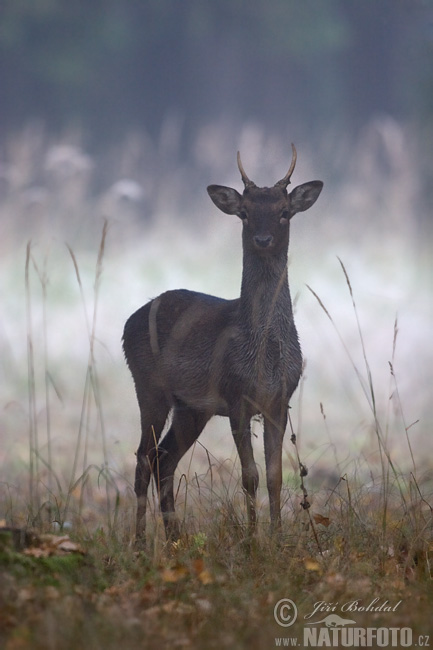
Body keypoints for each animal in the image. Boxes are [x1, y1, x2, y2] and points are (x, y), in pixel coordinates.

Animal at [121, 143, 320, 540]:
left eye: (284, 212)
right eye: (244, 213)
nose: (263, 240)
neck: (265, 357)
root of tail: (128, 321)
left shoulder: (279, 401)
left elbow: (275, 477)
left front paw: (277, 539)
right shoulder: (236, 396)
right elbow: (250, 477)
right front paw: (253, 541)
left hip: (191, 407)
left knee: (164, 458)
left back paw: (175, 539)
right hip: (148, 385)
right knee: (143, 457)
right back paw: (140, 543)